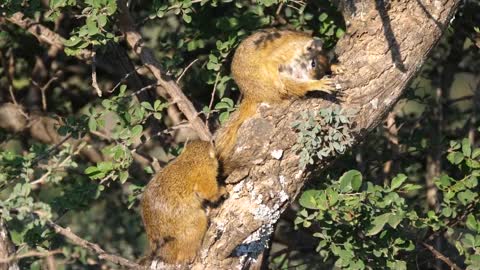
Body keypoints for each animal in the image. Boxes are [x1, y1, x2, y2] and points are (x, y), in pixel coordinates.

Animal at [214, 29, 342, 173]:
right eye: (313, 63)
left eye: (321, 71)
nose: (314, 78)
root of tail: (251, 94)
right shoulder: (285, 52)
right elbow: (271, 63)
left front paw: (334, 66)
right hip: (263, 82)